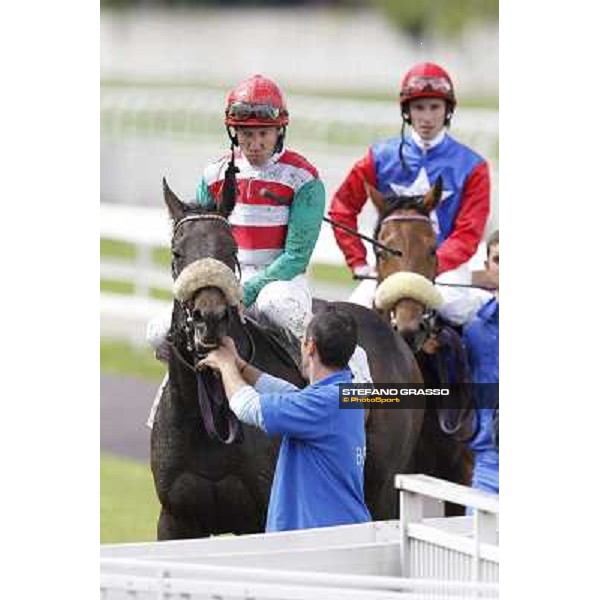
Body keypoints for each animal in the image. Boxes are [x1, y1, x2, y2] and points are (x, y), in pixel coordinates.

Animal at [150, 178, 424, 540]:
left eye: (231, 251)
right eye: (177, 253)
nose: (209, 318)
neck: (207, 419)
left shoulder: (261, 519)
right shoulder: (175, 520)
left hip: (382, 492)